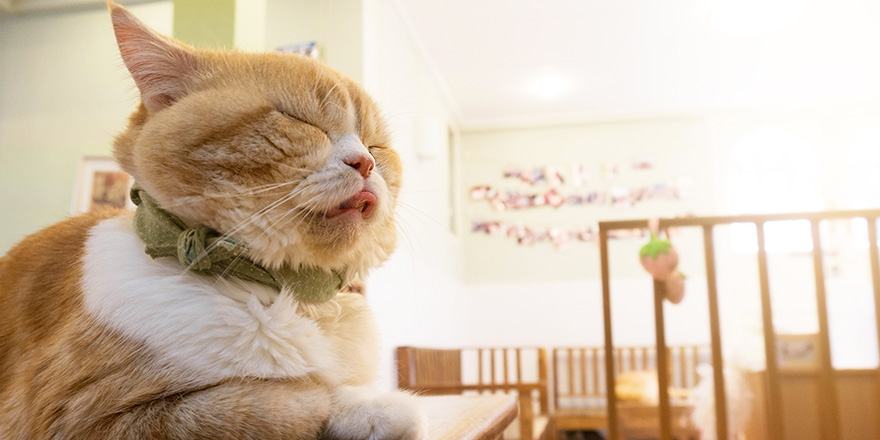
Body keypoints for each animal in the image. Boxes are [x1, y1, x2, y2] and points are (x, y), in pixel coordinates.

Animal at [0, 3, 426, 440]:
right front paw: (365, 401)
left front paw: (370, 407)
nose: (366, 162)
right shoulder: (82, 417)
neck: (282, 292)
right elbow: (284, 397)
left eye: (377, 145)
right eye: (298, 120)